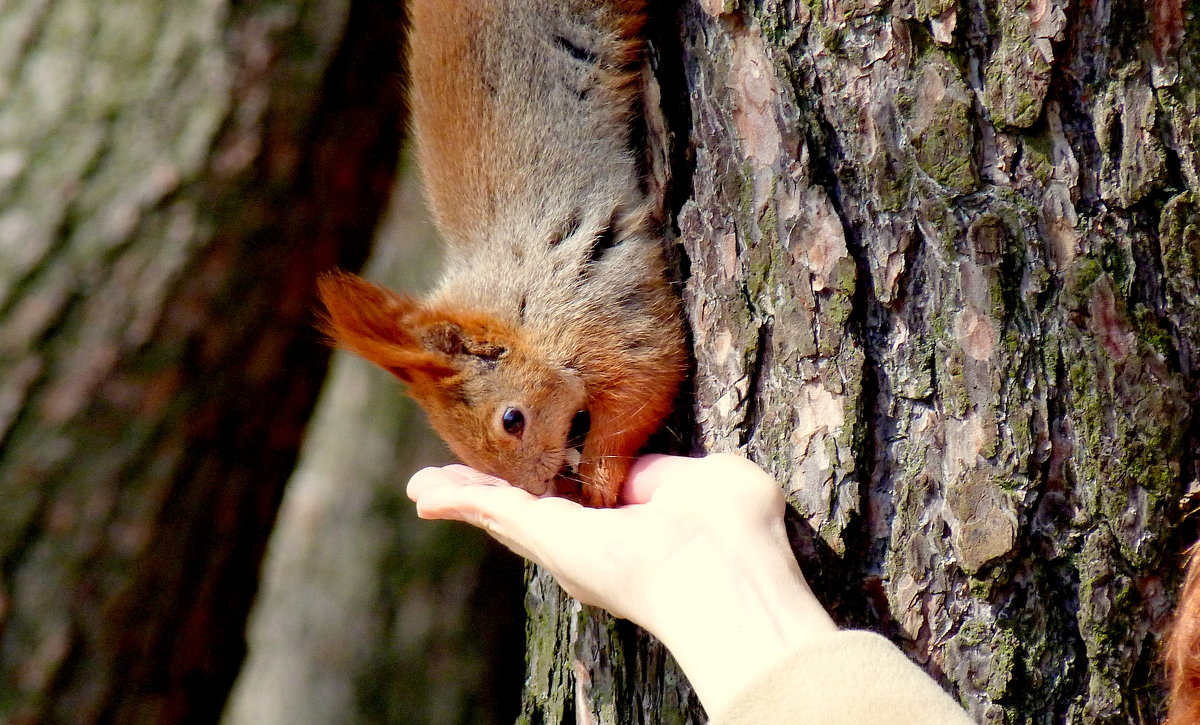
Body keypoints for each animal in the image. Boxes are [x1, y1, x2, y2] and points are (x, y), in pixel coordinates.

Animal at [319, 0, 686, 506]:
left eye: (512, 421)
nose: (537, 487)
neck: (522, 309)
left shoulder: (603, 313)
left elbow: (643, 388)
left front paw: (597, 484)